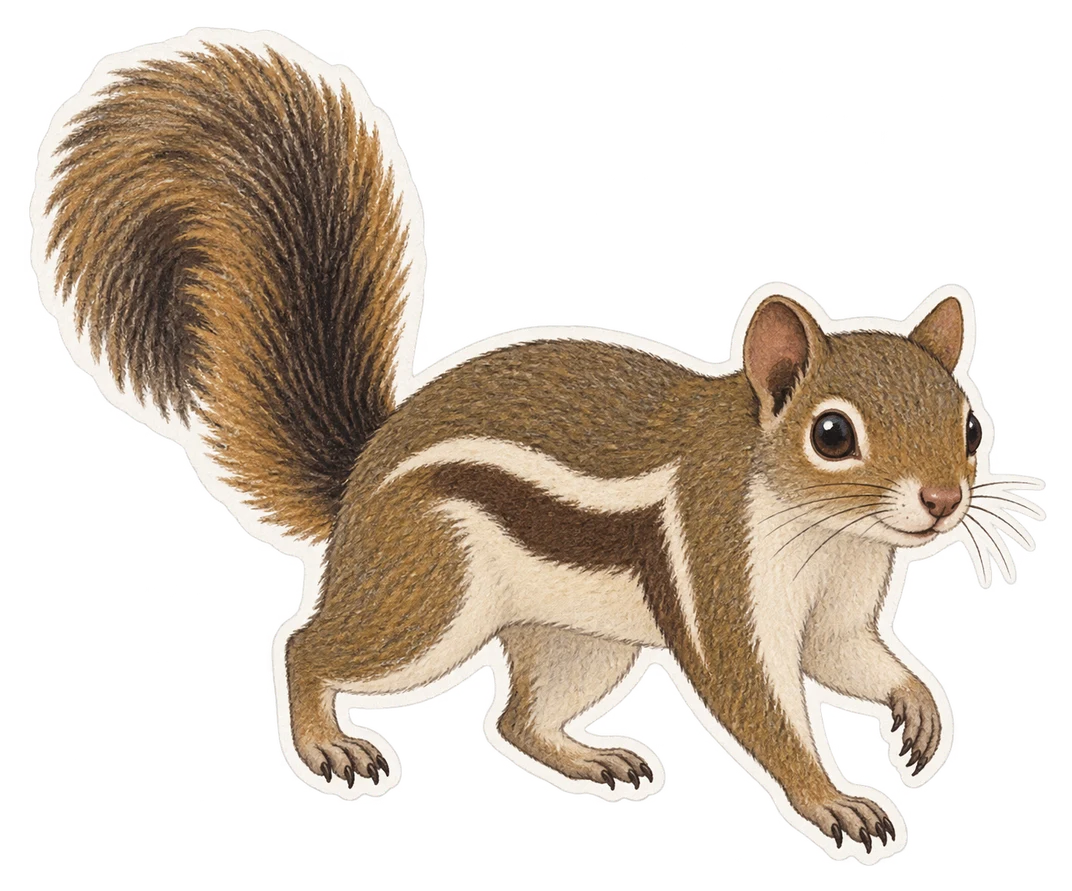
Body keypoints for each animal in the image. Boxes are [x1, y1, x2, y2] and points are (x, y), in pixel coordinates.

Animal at [42, 40, 1029, 854]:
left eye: (971, 425)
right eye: (831, 433)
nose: (942, 500)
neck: (829, 535)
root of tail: (360, 481)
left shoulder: (832, 610)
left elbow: (846, 657)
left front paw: (918, 706)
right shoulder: (717, 570)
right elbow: (756, 697)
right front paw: (832, 799)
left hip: (575, 638)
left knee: (515, 721)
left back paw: (592, 760)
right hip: (427, 591)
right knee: (308, 647)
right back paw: (327, 742)